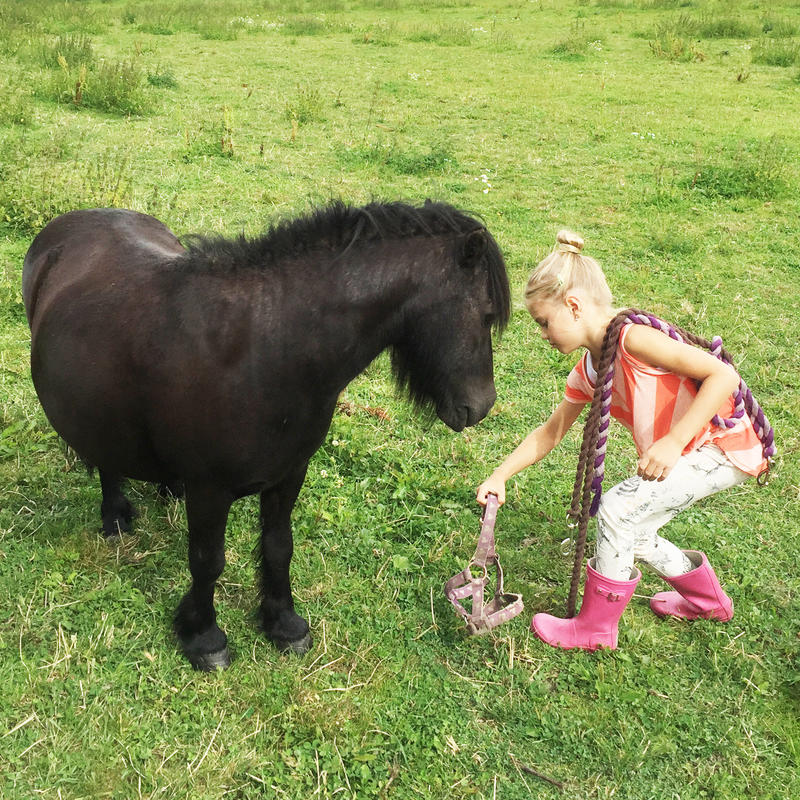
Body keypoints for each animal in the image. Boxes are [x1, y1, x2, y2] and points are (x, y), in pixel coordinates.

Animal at [25, 200, 512, 668]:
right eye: (486, 315)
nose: (481, 405)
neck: (266, 350)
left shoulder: (288, 474)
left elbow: (279, 548)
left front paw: (283, 623)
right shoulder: (209, 488)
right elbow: (207, 561)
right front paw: (203, 637)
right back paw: (115, 517)